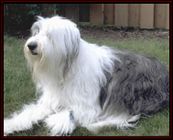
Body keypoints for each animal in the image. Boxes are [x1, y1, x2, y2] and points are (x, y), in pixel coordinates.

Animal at [4, 15, 169, 136]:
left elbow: (71, 111)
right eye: (37, 32)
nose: (31, 45)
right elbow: (30, 112)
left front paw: (57, 121)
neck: (67, 69)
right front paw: (10, 125)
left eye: (50, 35)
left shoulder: (90, 106)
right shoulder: (51, 100)